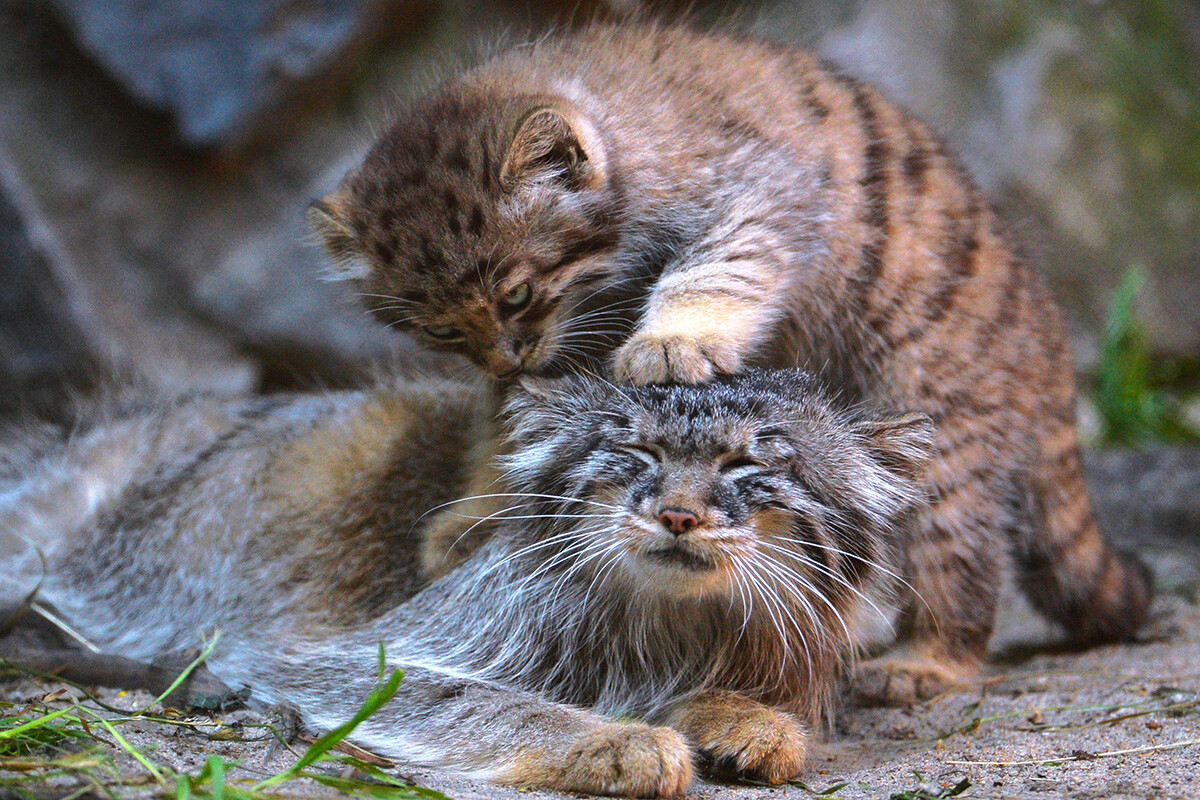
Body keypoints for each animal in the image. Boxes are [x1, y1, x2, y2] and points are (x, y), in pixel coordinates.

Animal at [2, 371, 926, 796]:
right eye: (637, 453)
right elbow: (481, 698)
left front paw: (743, 718)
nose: (676, 515)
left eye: (746, 465)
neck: (670, 620)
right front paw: (612, 737)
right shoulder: (322, 656)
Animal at [309, 21, 1152, 705]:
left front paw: (673, 339)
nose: (505, 356)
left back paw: (927, 658)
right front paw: (480, 511)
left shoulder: (763, 197)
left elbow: (718, 268)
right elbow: (516, 429)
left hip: (937, 435)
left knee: (960, 565)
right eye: (442, 332)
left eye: (516, 295)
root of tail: (1047, 332)